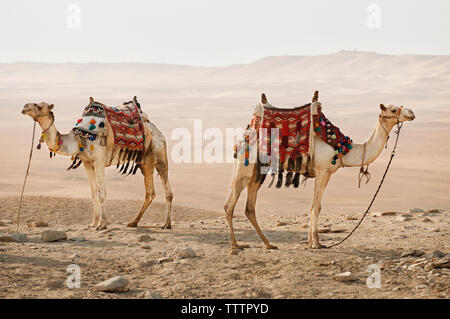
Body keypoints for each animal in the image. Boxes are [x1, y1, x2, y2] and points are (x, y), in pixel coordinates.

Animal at [21, 96, 173, 231]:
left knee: (167, 188)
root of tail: (153, 127)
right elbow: (94, 193)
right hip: (145, 161)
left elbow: (101, 193)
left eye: (40, 106)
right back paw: (133, 222)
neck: (78, 139)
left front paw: (102, 224)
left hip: (159, 149)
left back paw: (166, 224)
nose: (24, 107)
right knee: (150, 192)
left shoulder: (99, 161)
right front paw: (93, 223)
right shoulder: (87, 162)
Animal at [224, 91, 414, 251]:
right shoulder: (323, 171)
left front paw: (311, 242)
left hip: (258, 173)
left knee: (249, 208)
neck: (342, 148)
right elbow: (317, 207)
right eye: (393, 109)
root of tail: (242, 140)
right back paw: (235, 245)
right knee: (229, 205)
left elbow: (312, 206)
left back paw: (268, 244)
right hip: (244, 169)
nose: (411, 113)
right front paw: (316, 243)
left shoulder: (320, 173)